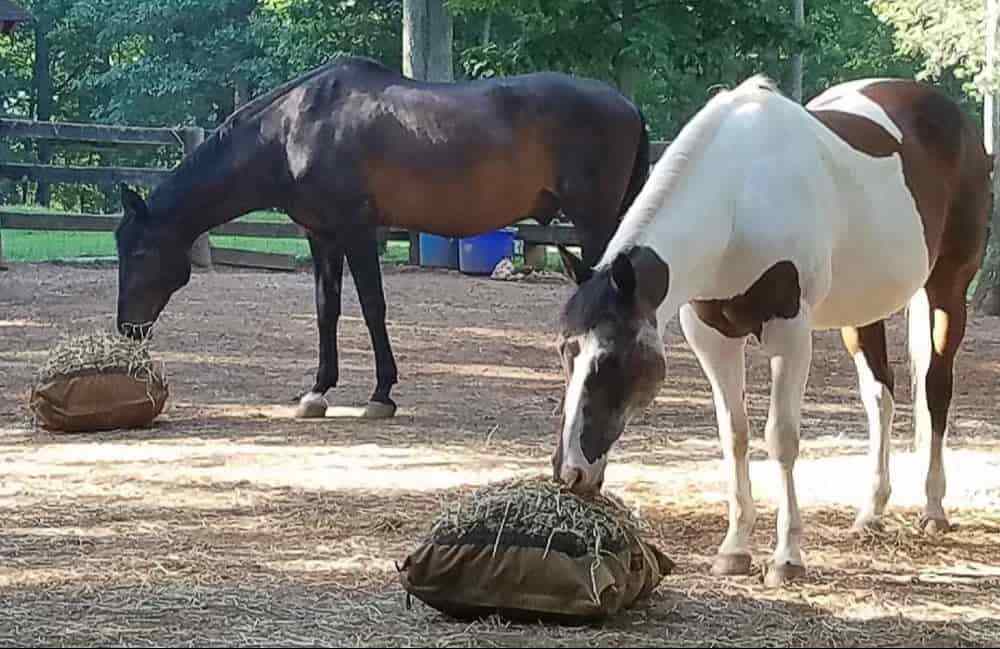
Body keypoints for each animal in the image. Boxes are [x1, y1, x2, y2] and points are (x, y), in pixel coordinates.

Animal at [114, 55, 650, 418]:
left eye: (139, 251)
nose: (127, 331)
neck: (293, 130)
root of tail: (626, 104)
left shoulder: (357, 230)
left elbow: (372, 306)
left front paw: (381, 394)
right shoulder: (321, 235)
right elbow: (326, 308)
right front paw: (318, 390)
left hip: (594, 221)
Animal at [552, 74, 991, 587]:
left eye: (613, 359)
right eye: (565, 350)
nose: (570, 474)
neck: (737, 200)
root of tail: (954, 116)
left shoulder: (789, 333)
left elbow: (781, 439)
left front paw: (786, 558)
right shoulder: (712, 336)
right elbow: (734, 435)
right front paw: (734, 550)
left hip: (947, 288)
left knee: (935, 388)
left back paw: (934, 508)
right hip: (862, 312)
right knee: (880, 397)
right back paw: (871, 512)